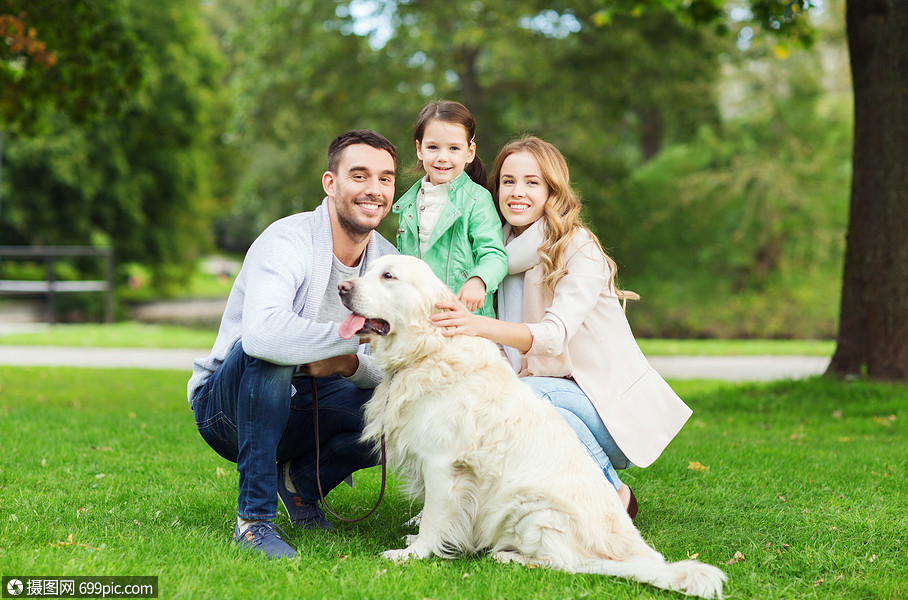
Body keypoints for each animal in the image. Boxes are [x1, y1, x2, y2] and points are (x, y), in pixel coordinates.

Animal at [336, 255, 728, 596]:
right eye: (369, 270)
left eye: (389, 276)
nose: (341, 287)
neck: (426, 351)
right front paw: (416, 542)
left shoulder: (442, 464)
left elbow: (435, 515)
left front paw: (413, 554)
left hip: (531, 507)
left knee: (566, 564)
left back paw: (507, 555)